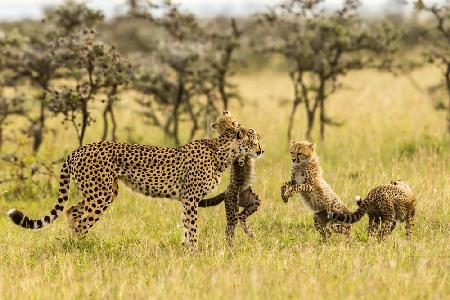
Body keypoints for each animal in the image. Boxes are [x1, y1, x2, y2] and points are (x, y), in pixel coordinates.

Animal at [7, 111, 264, 250]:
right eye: (254, 140)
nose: (261, 151)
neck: (223, 150)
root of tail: (79, 149)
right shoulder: (191, 198)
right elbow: (192, 226)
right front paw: (194, 251)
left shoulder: (185, 199)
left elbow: (185, 225)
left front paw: (185, 249)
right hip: (100, 194)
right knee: (81, 220)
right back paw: (79, 248)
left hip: (105, 191)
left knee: (72, 211)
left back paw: (77, 243)